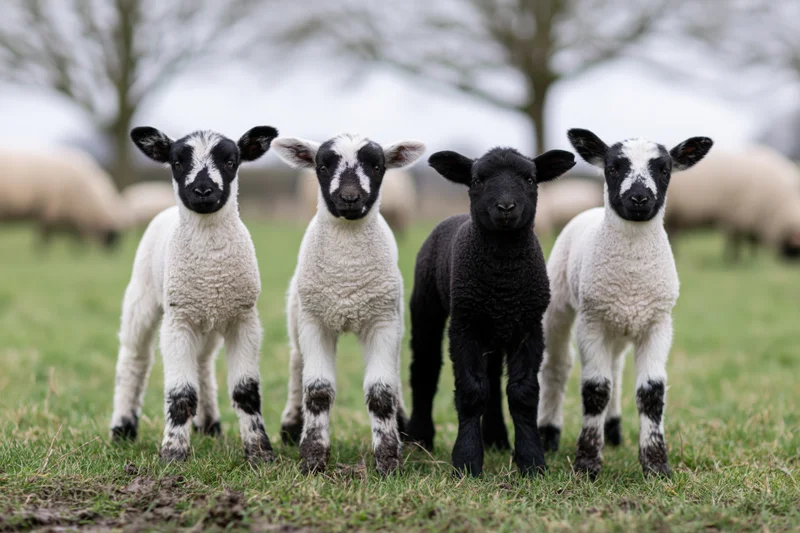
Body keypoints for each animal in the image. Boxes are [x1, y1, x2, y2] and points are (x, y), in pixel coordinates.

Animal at [109, 125, 279, 464]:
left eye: (231, 161)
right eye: (177, 162)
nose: (202, 191)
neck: (210, 267)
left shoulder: (243, 320)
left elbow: (246, 392)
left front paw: (259, 451)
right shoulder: (178, 322)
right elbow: (180, 393)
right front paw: (173, 452)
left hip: (207, 320)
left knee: (202, 364)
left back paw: (209, 424)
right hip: (143, 298)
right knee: (134, 359)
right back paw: (122, 428)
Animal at [272, 133, 425, 475]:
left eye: (378, 166)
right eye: (322, 166)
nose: (350, 197)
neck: (347, 277)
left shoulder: (382, 322)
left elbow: (381, 392)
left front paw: (388, 460)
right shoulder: (315, 321)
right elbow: (317, 390)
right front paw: (312, 458)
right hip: (297, 313)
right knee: (295, 362)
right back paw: (291, 424)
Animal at [403, 146, 576, 477]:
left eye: (530, 179)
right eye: (477, 180)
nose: (505, 207)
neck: (503, 277)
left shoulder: (529, 326)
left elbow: (523, 394)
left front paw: (532, 462)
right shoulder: (464, 326)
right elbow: (472, 392)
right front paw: (467, 461)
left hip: (496, 328)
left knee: (494, 381)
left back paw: (496, 438)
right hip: (426, 305)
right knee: (425, 369)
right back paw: (419, 438)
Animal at [537, 129, 713, 479]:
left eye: (664, 169)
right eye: (613, 167)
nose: (639, 198)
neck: (631, 279)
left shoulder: (659, 324)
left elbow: (651, 392)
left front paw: (657, 466)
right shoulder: (591, 322)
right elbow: (595, 390)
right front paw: (587, 464)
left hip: (617, 321)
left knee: (616, 368)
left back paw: (614, 430)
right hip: (560, 304)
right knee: (556, 368)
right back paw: (549, 434)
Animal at [664, 144, 800, 261]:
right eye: (794, 246)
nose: (792, 261)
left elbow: (748, 242)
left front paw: (751, 257)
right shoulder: (736, 216)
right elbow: (735, 241)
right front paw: (734, 259)